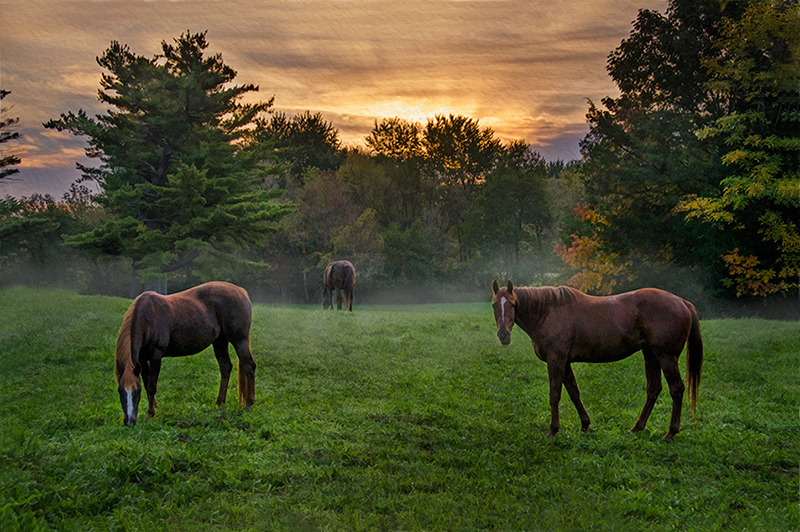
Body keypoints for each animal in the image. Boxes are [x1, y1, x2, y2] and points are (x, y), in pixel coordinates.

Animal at [112, 280, 255, 426]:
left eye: (137, 391)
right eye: (120, 391)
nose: (129, 421)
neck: (147, 317)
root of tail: (241, 291)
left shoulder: (155, 356)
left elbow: (152, 385)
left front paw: (151, 414)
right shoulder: (142, 358)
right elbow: (147, 382)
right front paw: (153, 407)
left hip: (239, 340)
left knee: (249, 365)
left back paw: (249, 404)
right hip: (220, 341)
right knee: (225, 367)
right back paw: (220, 403)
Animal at [490, 278, 704, 440]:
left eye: (513, 304)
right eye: (494, 305)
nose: (503, 335)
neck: (547, 311)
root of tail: (681, 301)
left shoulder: (556, 359)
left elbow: (555, 395)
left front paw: (553, 430)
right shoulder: (565, 362)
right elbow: (574, 393)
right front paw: (585, 425)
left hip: (667, 357)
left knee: (676, 389)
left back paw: (670, 433)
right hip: (650, 354)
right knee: (653, 389)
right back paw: (637, 428)